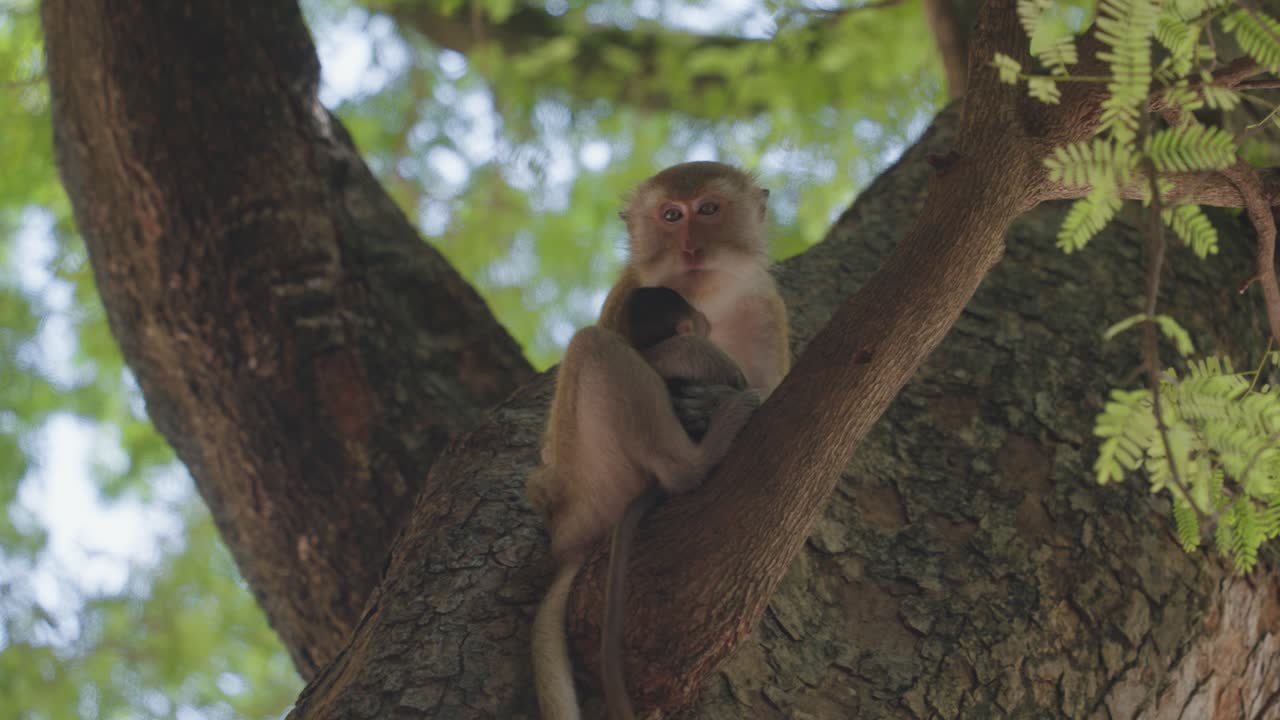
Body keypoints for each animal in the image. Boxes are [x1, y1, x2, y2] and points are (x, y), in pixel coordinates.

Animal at [528, 286, 758, 720]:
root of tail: (566, 544)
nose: (708, 321)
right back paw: (696, 460)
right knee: (594, 344)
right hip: (597, 476)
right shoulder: (688, 349)